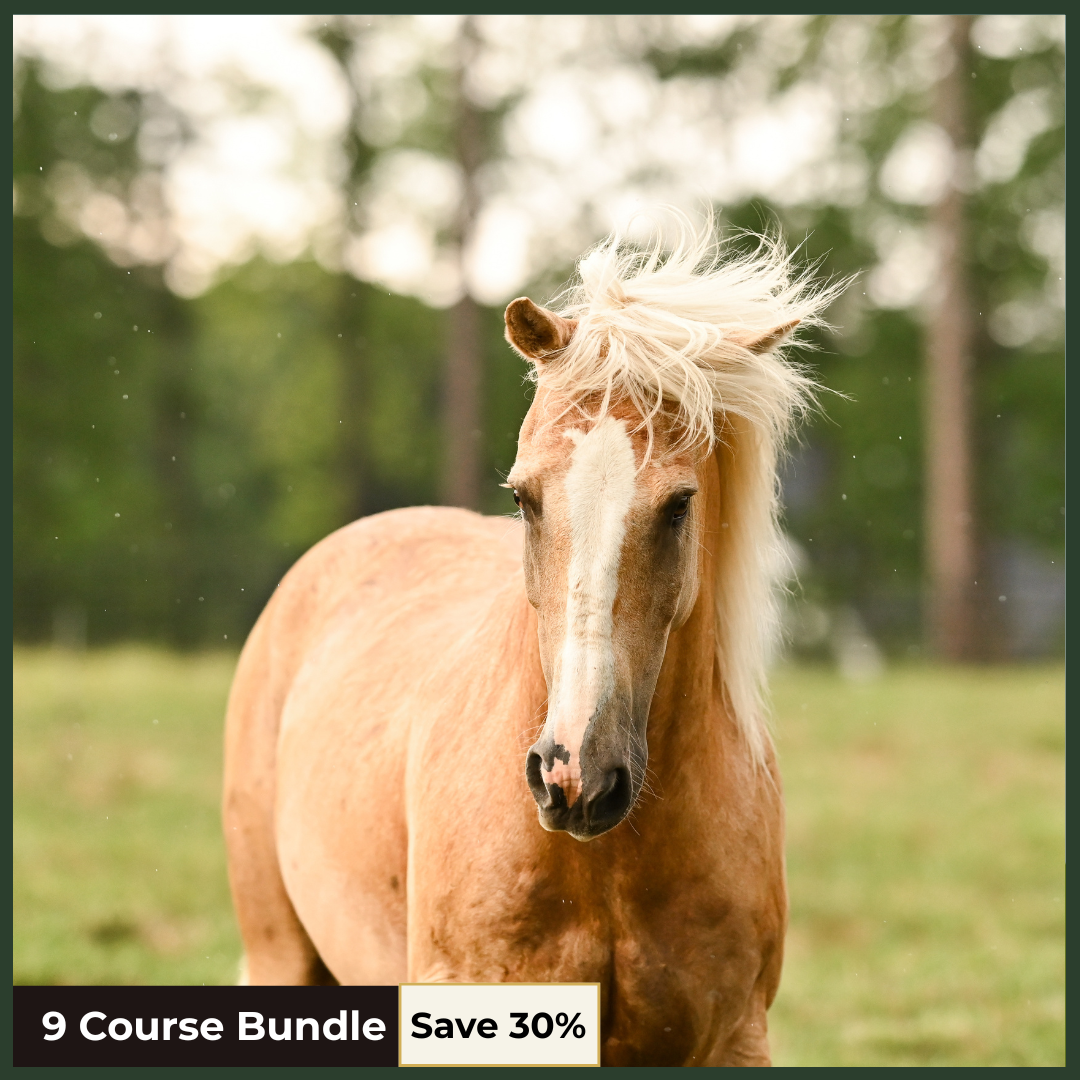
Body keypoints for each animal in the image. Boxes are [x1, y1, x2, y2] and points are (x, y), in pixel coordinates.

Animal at [223, 222, 839, 1066]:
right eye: (523, 497)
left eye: (680, 505)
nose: (575, 774)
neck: (606, 861)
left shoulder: (729, 1041)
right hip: (281, 958)